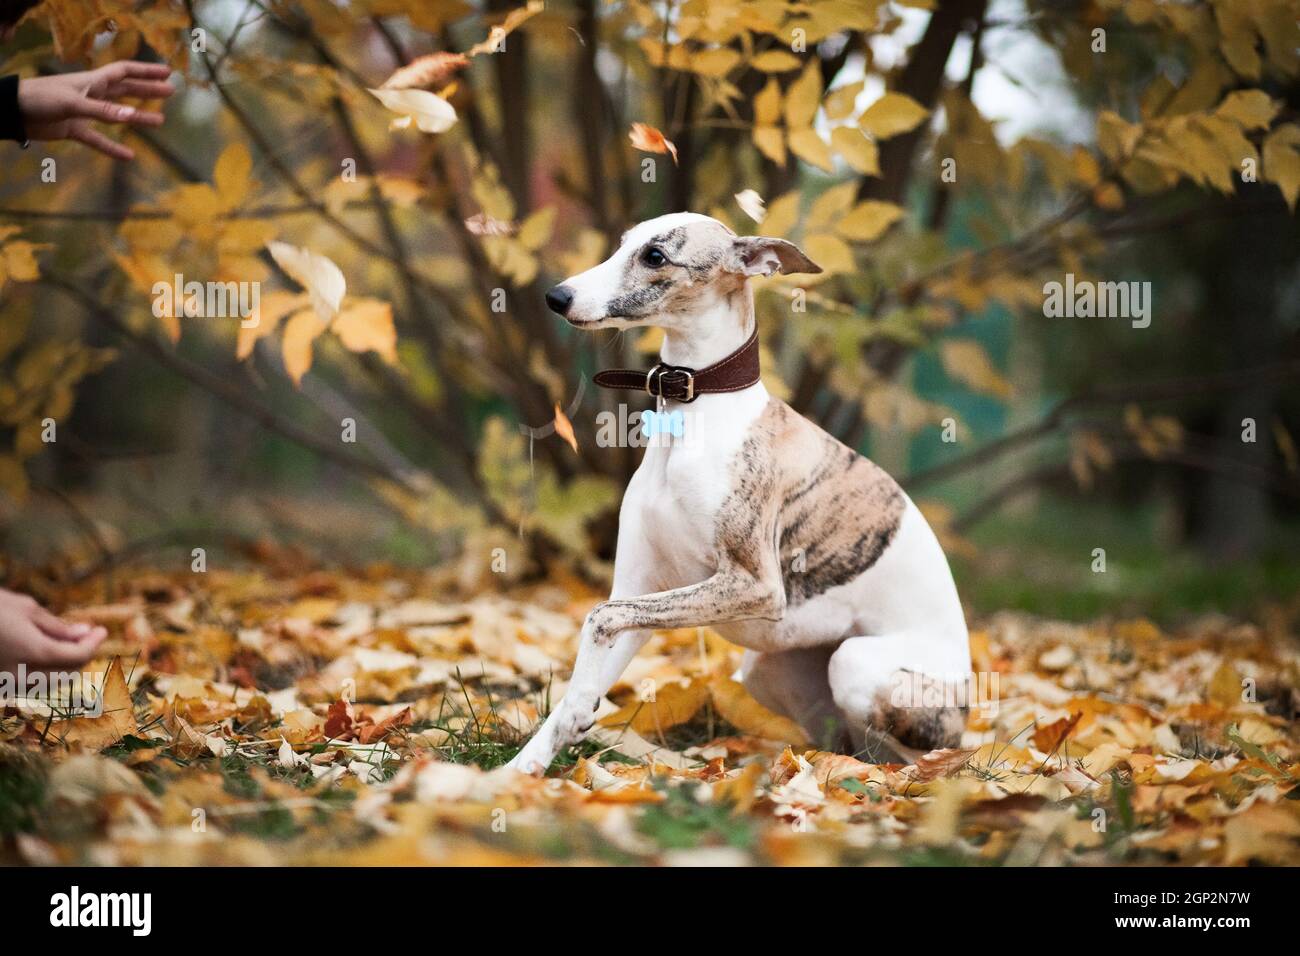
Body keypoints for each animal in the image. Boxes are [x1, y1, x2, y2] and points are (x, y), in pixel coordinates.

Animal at [506, 213, 977, 775]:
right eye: (622, 244)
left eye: (655, 256)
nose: (557, 297)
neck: (696, 416)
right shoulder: (641, 586)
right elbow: (599, 640)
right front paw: (519, 771)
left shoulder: (754, 584)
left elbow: (599, 616)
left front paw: (577, 716)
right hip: (767, 671)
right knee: (845, 741)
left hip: (858, 665)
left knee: (917, 755)